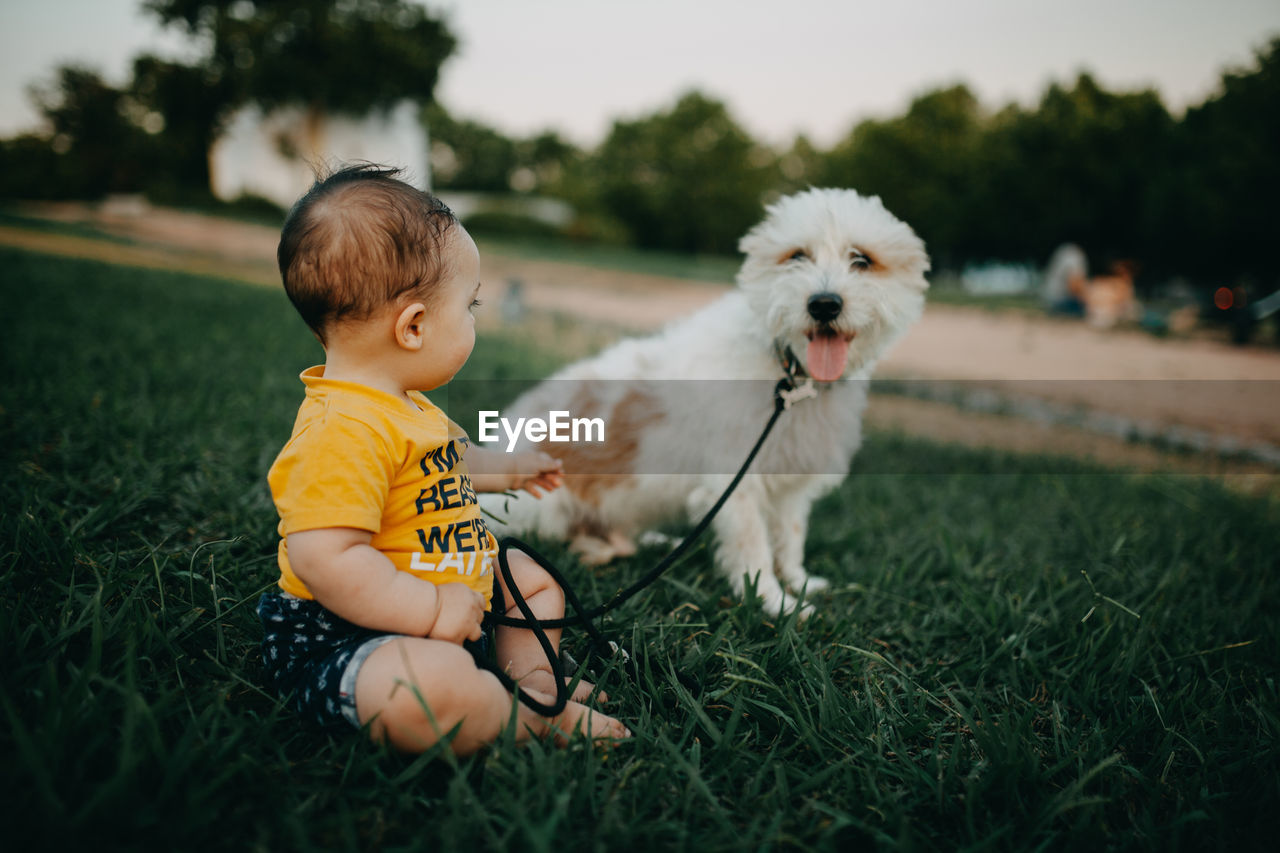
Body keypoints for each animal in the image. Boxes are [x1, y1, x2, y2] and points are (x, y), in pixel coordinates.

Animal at [481, 188, 931, 612]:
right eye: (797, 256)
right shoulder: (737, 480)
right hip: (538, 511)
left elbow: (790, 538)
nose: (824, 304)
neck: (787, 372)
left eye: (862, 259)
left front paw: (799, 582)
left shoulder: (790, 482)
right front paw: (775, 604)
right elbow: (754, 549)